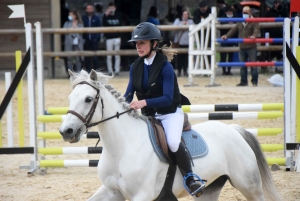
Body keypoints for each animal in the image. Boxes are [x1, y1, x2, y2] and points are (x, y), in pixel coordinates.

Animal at [59, 70, 282, 200]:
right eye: (69, 97)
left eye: (88, 99)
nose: (66, 131)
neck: (121, 149)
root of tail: (234, 130)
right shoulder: (111, 192)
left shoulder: (142, 195)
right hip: (211, 188)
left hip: (250, 186)